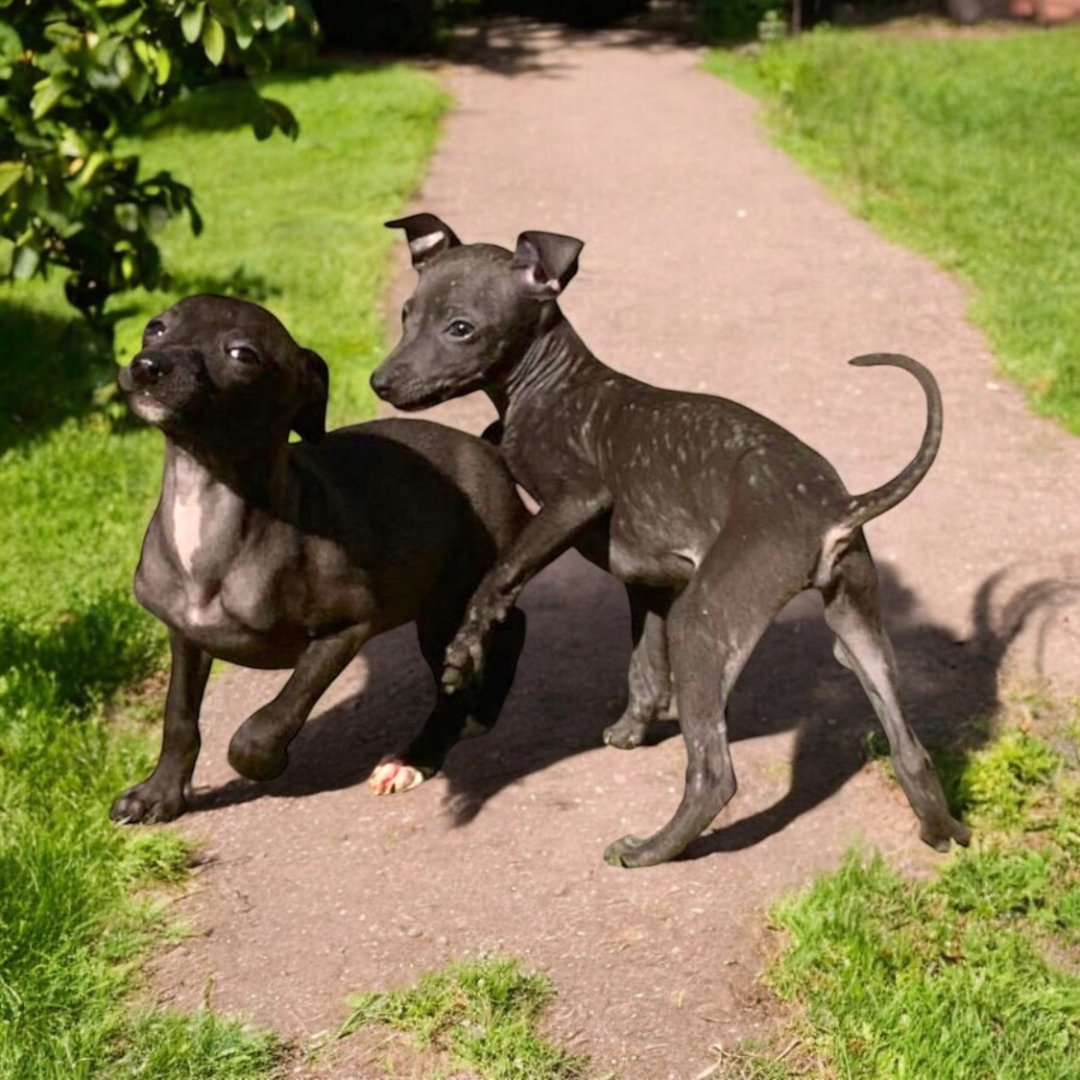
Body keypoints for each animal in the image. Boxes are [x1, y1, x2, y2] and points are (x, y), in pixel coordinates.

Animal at [112, 291, 527, 820]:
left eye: (242, 354)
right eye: (156, 328)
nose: (148, 366)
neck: (209, 503)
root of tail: (487, 449)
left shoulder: (346, 628)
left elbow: (267, 722)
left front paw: (263, 763)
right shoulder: (185, 634)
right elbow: (179, 717)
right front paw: (160, 794)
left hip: (450, 606)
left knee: (485, 648)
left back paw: (425, 751)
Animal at [369, 214, 972, 864]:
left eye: (462, 328)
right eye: (406, 314)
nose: (380, 382)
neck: (550, 385)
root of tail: (834, 507)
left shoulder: (577, 500)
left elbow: (501, 574)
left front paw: (463, 650)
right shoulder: (652, 583)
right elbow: (644, 666)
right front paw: (633, 729)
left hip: (704, 626)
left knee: (714, 774)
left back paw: (650, 850)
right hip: (857, 629)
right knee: (911, 751)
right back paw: (946, 833)